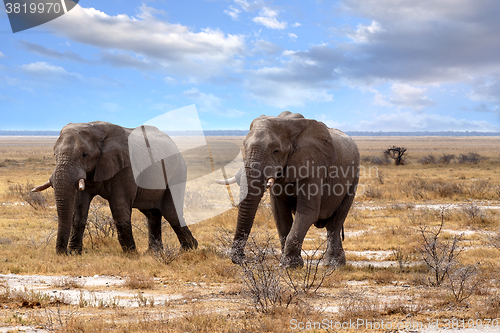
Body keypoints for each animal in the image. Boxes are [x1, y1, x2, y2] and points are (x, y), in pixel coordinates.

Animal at [31, 122, 197, 254]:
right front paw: (74, 253)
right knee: (153, 213)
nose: (62, 253)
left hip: (177, 172)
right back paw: (154, 252)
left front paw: (131, 254)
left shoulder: (125, 167)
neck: (94, 129)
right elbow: (79, 210)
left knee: (171, 213)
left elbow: (118, 207)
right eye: (54, 154)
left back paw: (189, 249)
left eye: (85, 155)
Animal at [217, 111, 358, 268]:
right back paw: (338, 263)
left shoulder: (314, 166)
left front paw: (290, 266)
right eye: (244, 146)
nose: (244, 259)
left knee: (335, 223)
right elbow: (279, 214)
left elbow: (307, 212)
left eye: (276, 151)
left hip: (354, 179)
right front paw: (286, 264)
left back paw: (332, 264)